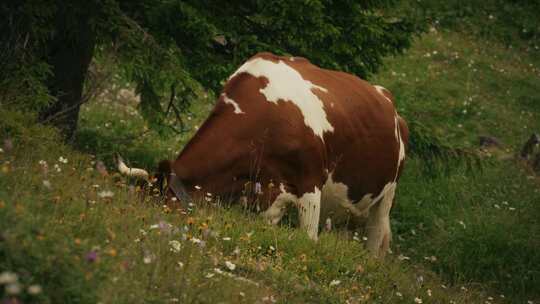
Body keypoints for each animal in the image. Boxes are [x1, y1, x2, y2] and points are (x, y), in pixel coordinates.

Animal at [119, 52, 410, 256]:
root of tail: (389, 101)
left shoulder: (311, 181)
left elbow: (308, 239)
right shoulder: (264, 192)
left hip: (386, 197)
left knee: (376, 237)